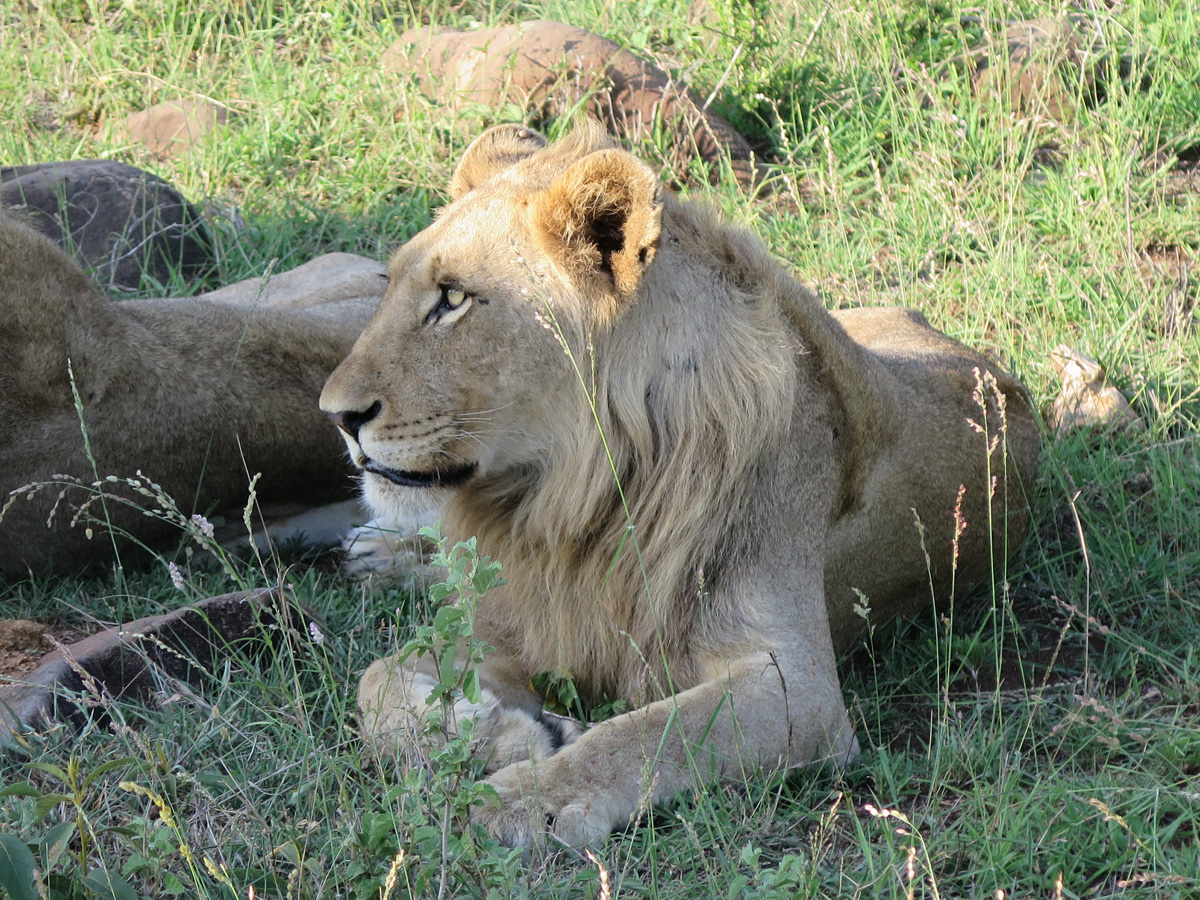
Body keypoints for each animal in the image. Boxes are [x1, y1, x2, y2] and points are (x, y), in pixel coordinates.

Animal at [319, 121, 1041, 848]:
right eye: (389, 285)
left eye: (454, 297)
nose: (337, 416)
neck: (565, 505)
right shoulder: (521, 621)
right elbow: (377, 682)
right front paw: (506, 736)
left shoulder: (800, 690)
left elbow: (644, 737)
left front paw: (515, 798)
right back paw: (377, 551)